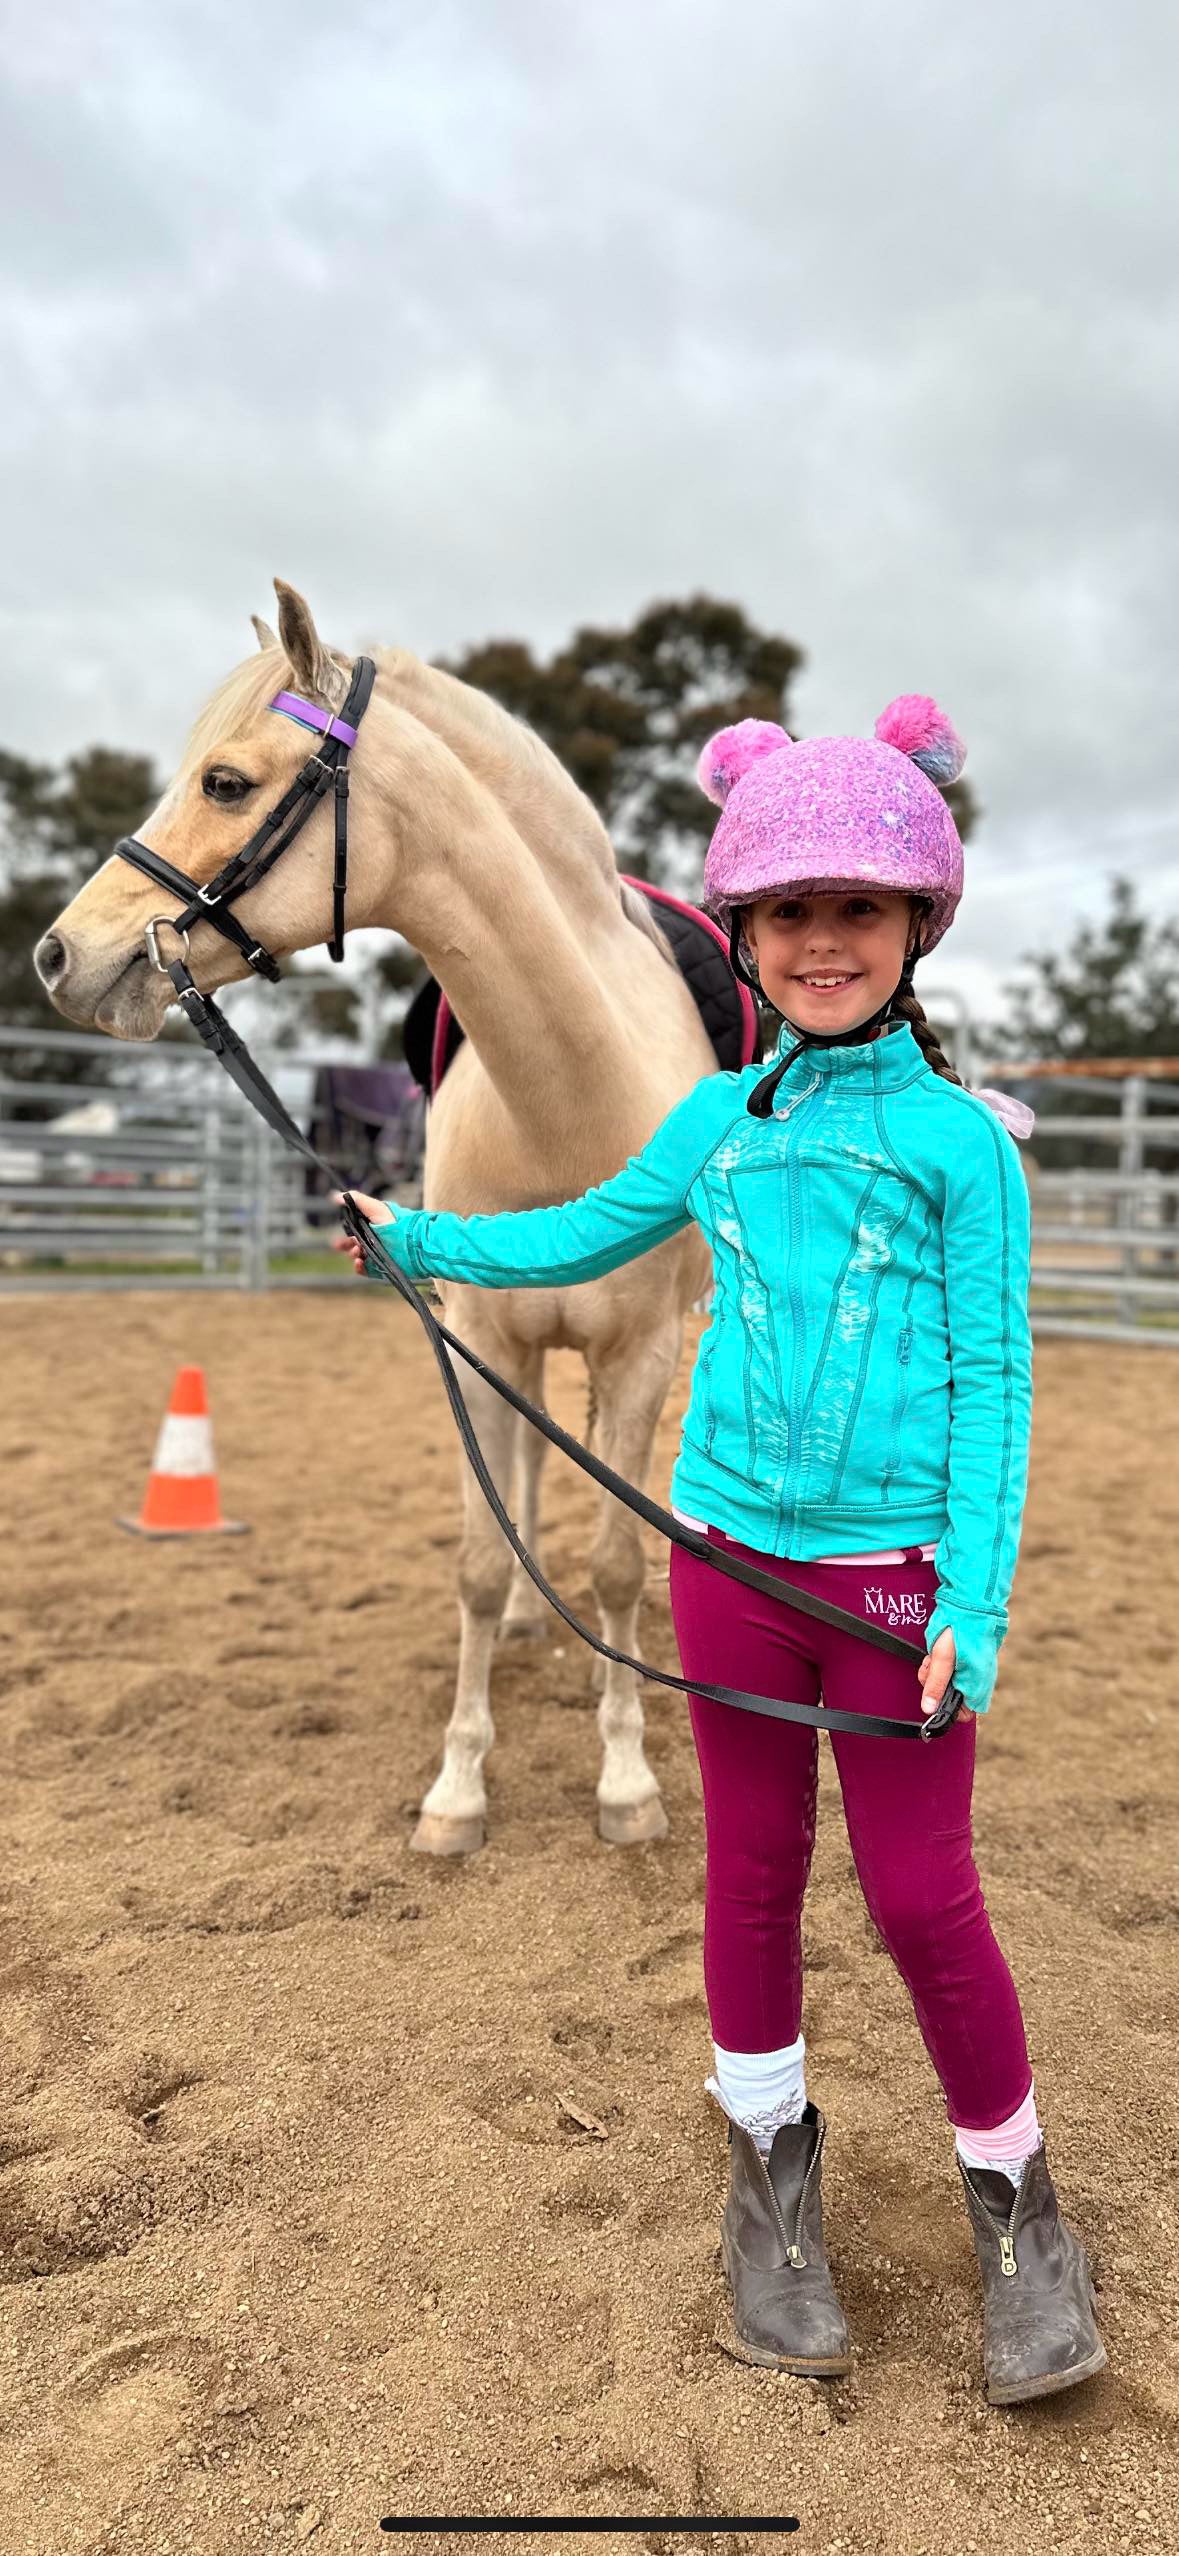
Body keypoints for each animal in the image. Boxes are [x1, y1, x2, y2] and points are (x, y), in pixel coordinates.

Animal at [36, 580, 726, 1860]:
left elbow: (613, 1563)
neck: (571, 1096)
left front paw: (625, 1778)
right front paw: (458, 1788)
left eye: (225, 782)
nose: (61, 955)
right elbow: (477, 1563)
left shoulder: (643, 1353)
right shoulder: (482, 1340)